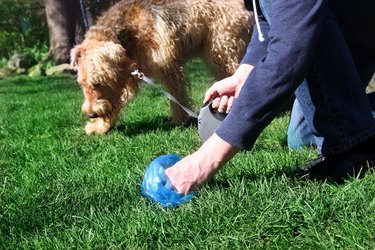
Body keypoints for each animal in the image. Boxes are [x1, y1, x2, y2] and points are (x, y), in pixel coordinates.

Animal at [71, 0, 253, 135]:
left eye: (97, 82)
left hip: (222, 50)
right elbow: (117, 102)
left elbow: (177, 96)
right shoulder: (128, 77)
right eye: (82, 84)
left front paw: (179, 120)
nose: (91, 114)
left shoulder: (168, 66)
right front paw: (99, 127)